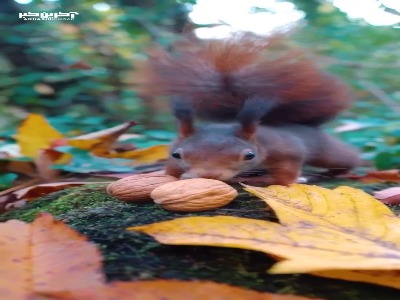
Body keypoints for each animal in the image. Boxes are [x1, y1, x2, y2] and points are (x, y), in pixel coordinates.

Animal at [134, 32, 360, 183]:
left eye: (249, 155)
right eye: (177, 155)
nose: (209, 175)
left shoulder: (287, 149)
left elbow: (285, 175)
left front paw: (273, 180)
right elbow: (171, 172)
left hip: (328, 152)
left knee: (348, 158)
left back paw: (336, 172)